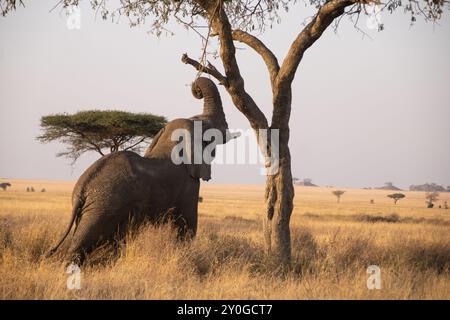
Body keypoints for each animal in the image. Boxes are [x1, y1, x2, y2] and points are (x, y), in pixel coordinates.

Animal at [48, 76, 239, 264]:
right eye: (209, 133)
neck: (170, 142)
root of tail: (82, 189)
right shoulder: (188, 184)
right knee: (85, 242)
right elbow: (187, 225)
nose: (196, 89)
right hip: (104, 206)